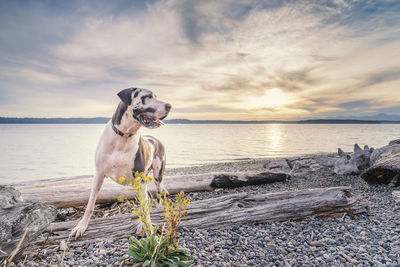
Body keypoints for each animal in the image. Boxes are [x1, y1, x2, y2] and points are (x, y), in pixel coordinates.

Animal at [70, 87, 170, 239]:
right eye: (147, 97)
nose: (169, 106)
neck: (124, 136)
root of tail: (155, 139)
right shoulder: (98, 175)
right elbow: (90, 205)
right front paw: (81, 226)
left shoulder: (140, 180)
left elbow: (144, 207)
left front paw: (149, 229)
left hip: (158, 176)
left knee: (157, 196)